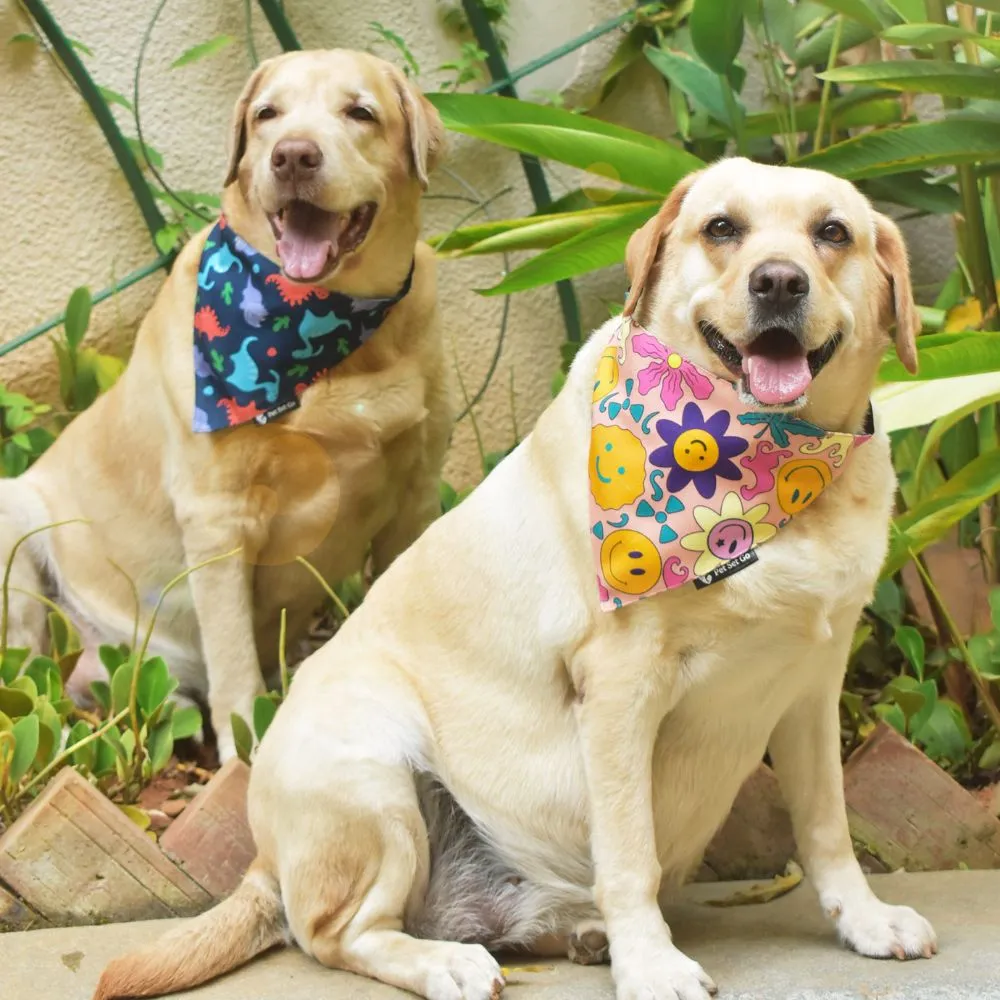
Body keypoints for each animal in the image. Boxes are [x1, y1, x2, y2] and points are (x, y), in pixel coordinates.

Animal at [0, 50, 448, 756]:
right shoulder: (215, 519)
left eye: (360, 112)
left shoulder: (418, 490)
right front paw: (248, 755)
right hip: (13, 528)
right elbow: (235, 666)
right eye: (267, 114)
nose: (293, 156)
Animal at [95, 160, 936, 1000]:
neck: (762, 466)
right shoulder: (621, 690)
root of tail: (266, 863)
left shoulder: (810, 683)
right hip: (374, 772)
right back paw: (449, 961)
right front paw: (651, 963)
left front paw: (865, 920)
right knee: (337, 935)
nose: (779, 281)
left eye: (833, 233)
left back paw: (583, 934)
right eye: (722, 228)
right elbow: (629, 853)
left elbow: (827, 827)